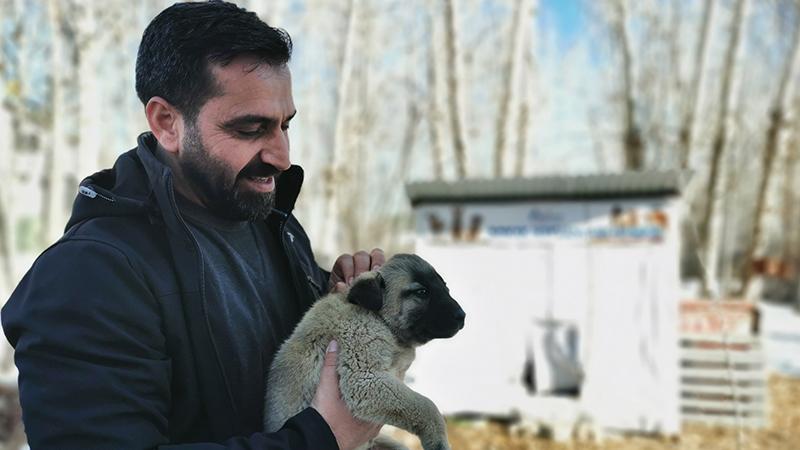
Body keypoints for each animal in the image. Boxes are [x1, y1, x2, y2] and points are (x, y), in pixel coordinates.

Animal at [264, 253, 462, 450]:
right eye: (422, 292)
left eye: (445, 287)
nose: (462, 315)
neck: (378, 318)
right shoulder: (363, 378)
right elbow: (426, 405)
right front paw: (438, 440)